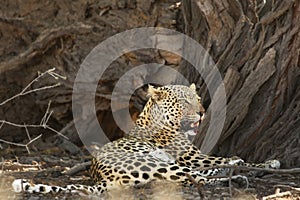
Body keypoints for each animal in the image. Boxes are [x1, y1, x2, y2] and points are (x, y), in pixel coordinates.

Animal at [11, 83, 278, 195]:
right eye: (184, 101)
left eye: (198, 99)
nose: (202, 112)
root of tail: (102, 179)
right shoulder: (193, 157)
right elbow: (218, 160)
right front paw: (262, 163)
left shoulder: (191, 158)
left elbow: (218, 162)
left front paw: (244, 163)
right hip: (158, 164)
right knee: (197, 180)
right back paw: (241, 176)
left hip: (165, 166)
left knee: (196, 178)